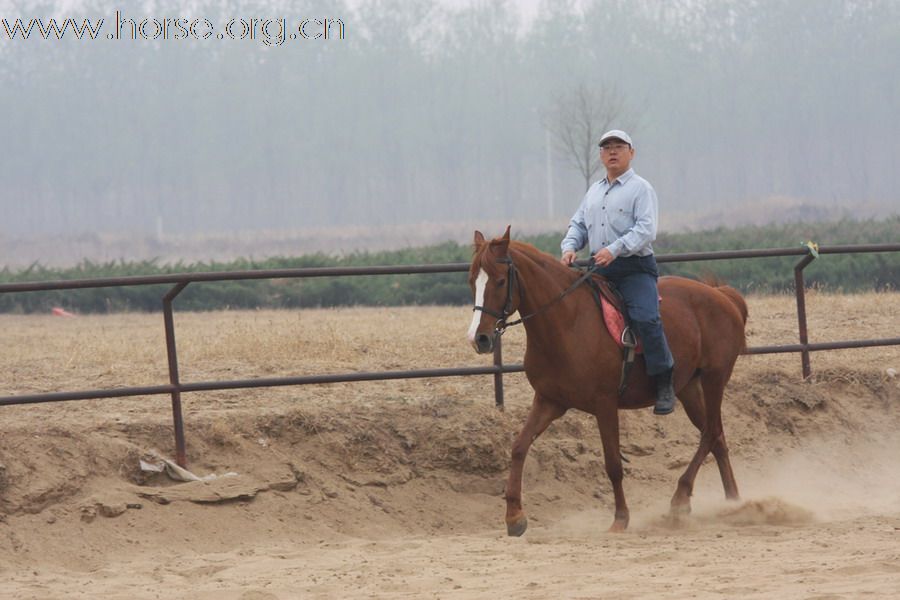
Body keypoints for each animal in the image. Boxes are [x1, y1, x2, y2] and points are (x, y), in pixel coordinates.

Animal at [468, 227, 748, 532]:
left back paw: (681, 499)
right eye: (472, 281)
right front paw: (514, 517)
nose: (479, 339)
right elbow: (519, 447)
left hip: (714, 379)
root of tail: (721, 295)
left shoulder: (605, 405)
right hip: (689, 388)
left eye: (499, 281)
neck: (568, 322)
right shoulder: (549, 401)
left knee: (710, 433)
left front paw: (620, 519)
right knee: (716, 437)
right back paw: (733, 502)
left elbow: (613, 464)